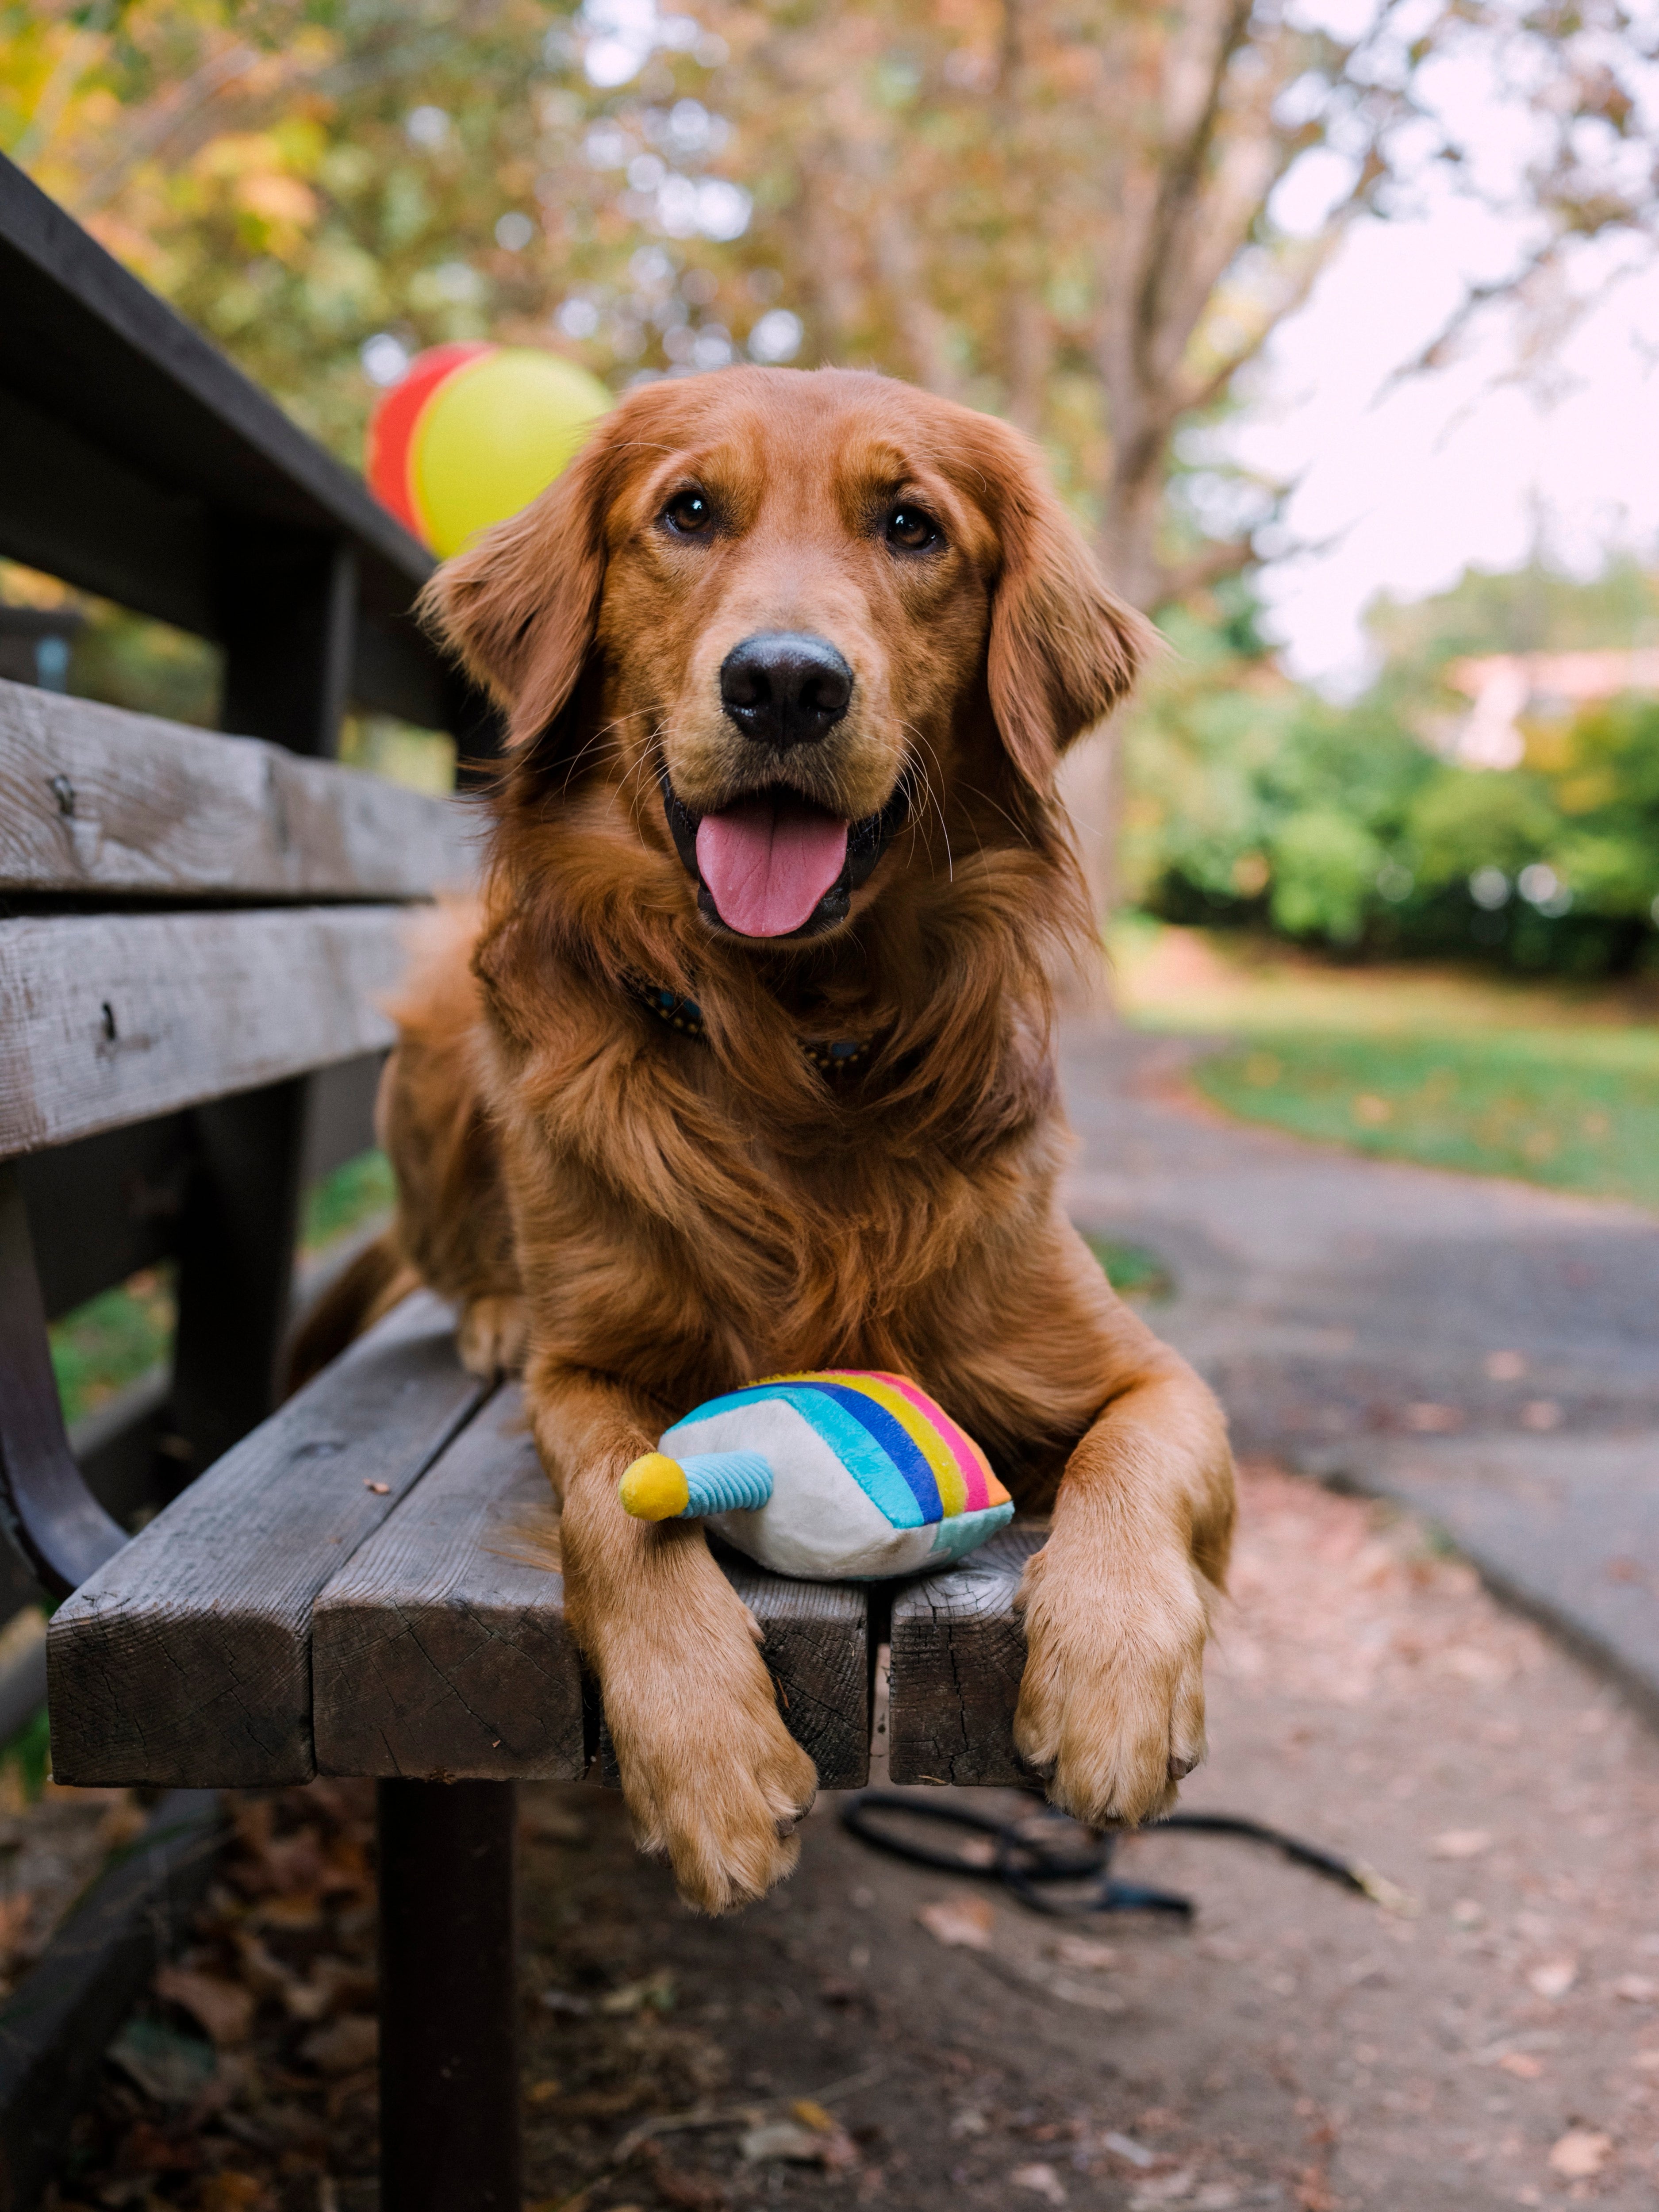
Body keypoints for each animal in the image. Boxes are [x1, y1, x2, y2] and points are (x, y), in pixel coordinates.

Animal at [334, 363, 1239, 1902]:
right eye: (688, 512)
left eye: (911, 526)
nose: (784, 682)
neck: (792, 1045)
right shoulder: (590, 1374)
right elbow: (615, 1504)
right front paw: (706, 1756)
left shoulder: (1150, 1376)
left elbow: (1132, 1459)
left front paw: (1112, 1683)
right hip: (440, 1011)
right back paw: (491, 1310)